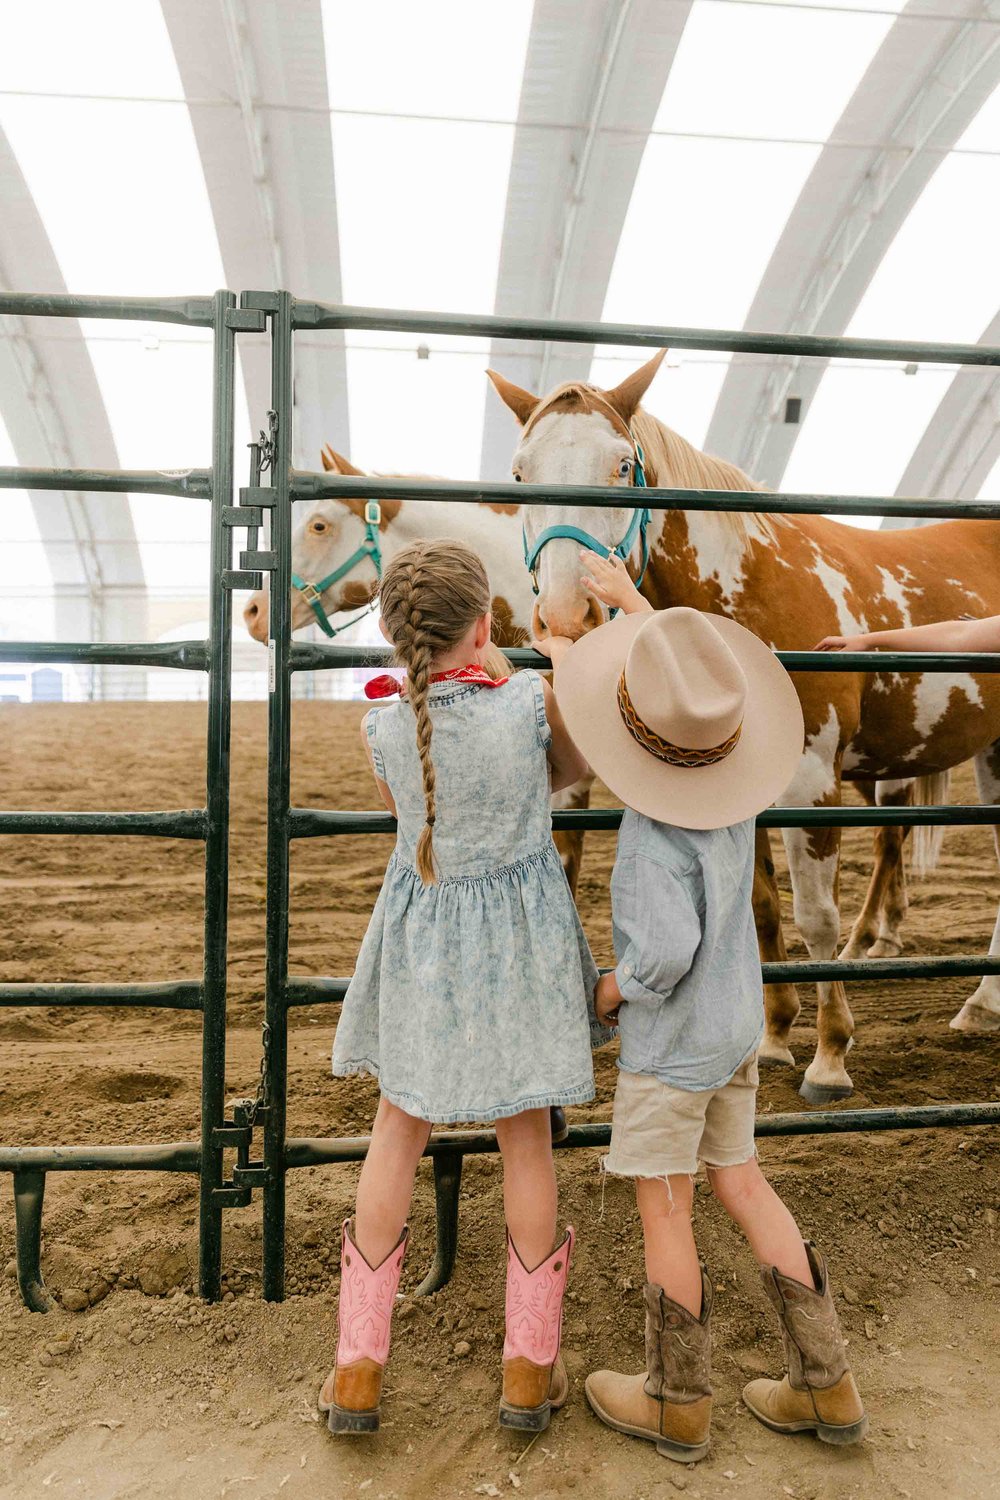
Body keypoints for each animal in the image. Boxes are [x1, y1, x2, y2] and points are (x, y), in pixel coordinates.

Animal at [491, 351, 1000, 1104]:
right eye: (521, 471)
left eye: (622, 464)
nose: (565, 616)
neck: (750, 589)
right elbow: (759, 909)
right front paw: (774, 1037)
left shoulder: (812, 784)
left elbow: (816, 919)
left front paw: (830, 1056)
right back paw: (981, 1004)